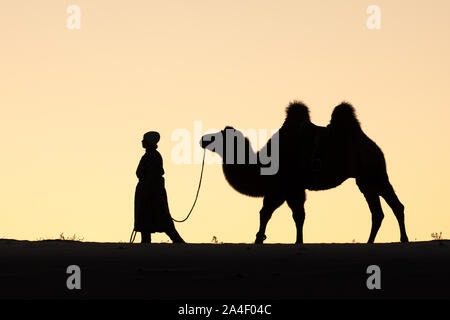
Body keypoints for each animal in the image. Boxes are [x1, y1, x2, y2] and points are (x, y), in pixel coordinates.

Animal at [200, 101, 408, 244]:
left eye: (219, 136)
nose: (203, 139)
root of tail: (374, 147)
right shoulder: (282, 188)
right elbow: (268, 212)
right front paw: (259, 239)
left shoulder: (289, 187)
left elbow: (294, 215)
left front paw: (296, 241)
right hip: (364, 180)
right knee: (378, 212)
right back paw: (369, 242)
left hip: (375, 173)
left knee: (395, 205)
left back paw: (403, 239)